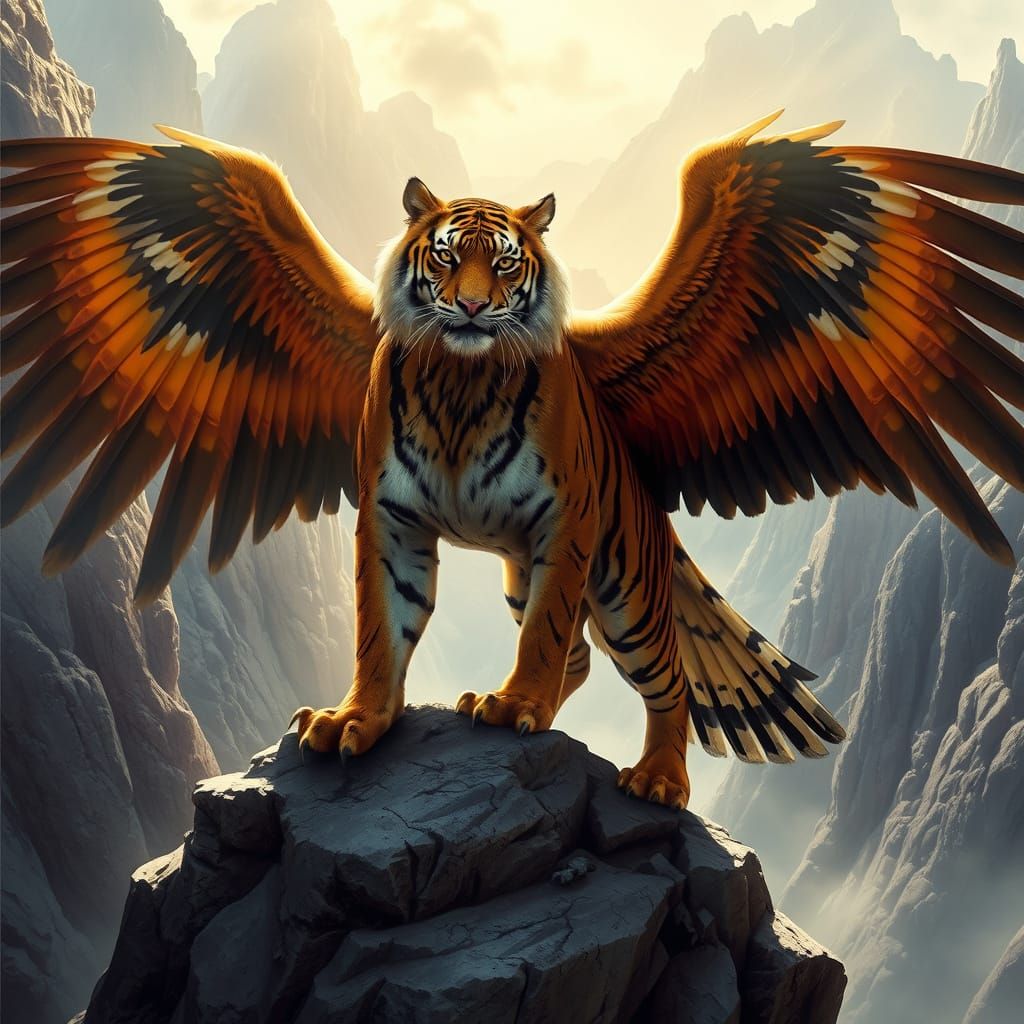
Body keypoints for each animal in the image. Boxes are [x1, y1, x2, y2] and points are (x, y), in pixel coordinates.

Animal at [2, 111, 1022, 807]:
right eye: (445, 254)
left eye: (506, 260)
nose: (471, 305)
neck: (460, 384)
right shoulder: (390, 519)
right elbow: (382, 631)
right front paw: (359, 721)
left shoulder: (563, 524)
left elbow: (543, 639)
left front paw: (516, 704)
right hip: (534, 571)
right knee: (580, 659)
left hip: (625, 584)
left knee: (657, 675)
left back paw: (650, 776)